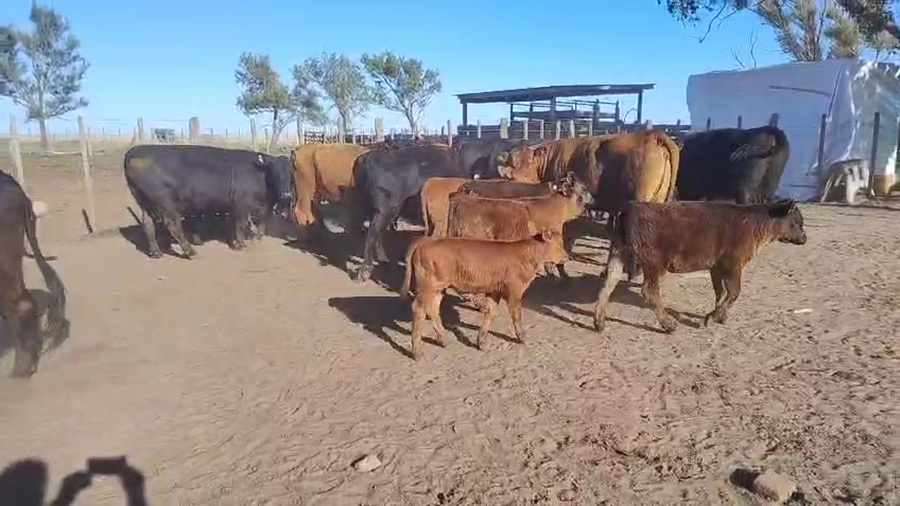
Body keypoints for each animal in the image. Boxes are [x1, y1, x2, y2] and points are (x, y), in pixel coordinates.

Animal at [123, 145, 294, 259]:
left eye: (291, 173)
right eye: (275, 172)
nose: (286, 194)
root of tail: (134, 152)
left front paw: (252, 238)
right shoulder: (242, 203)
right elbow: (240, 224)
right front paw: (240, 244)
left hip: (144, 200)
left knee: (148, 224)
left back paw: (155, 252)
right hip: (165, 201)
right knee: (173, 224)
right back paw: (190, 251)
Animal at [349, 144, 476, 283]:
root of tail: (370, 156)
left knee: (377, 232)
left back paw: (382, 259)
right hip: (385, 210)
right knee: (373, 233)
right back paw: (365, 270)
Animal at [399, 230, 568, 360]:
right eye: (559, 244)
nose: (566, 257)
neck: (528, 254)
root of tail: (425, 241)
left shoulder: (495, 290)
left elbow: (490, 313)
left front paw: (481, 341)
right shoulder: (515, 290)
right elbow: (516, 315)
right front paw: (522, 337)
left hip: (439, 289)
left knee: (433, 309)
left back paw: (444, 340)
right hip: (429, 286)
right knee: (419, 310)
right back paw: (417, 352)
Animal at [592, 199, 807, 334]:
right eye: (797, 222)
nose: (804, 238)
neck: (753, 222)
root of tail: (627, 209)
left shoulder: (716, 268)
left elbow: (720, 292)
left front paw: (720, 315)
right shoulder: (732, 265)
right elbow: (734, 292)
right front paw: (713, 317)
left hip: (618, 254)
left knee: (608, 283)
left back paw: (599, 322)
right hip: (654, 264)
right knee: (649, 290)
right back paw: (669, 325)